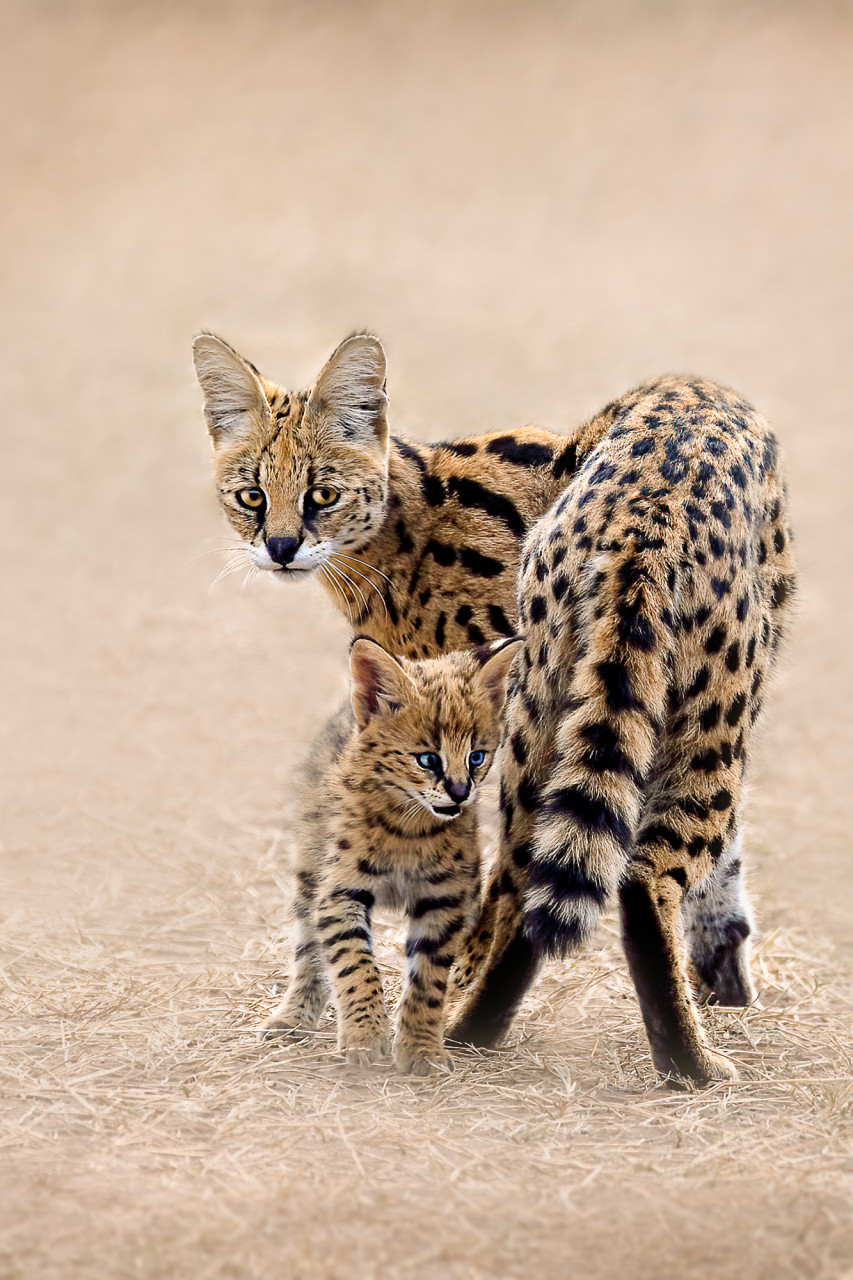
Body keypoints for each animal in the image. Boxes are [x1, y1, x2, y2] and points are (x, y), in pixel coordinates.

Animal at [263, 634, 517, 1075]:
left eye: (477, 757)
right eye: (428, 759)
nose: (460, 793)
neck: (411, 825)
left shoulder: (446, 899)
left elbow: (428, 980)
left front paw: (421, 1048)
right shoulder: (340, 890)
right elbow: (355, 964)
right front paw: (365, 1035)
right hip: (310, 871)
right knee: (308, 951)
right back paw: (293, 1018)